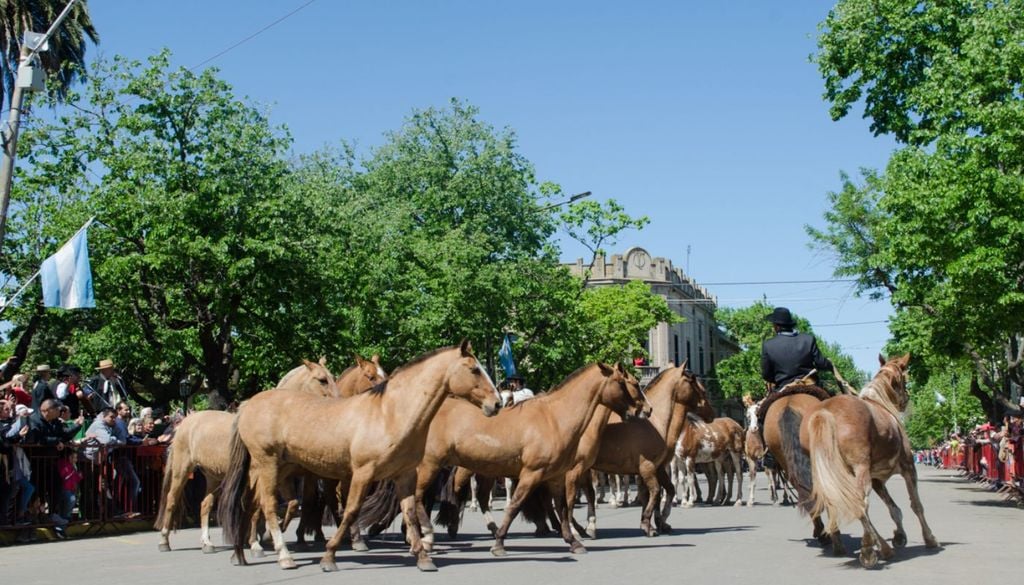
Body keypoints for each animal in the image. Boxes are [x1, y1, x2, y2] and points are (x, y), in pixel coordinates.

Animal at [155, 358, 343, 553]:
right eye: (322, 380)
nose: (339, 404)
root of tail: (186, 422)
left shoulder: (282, 476)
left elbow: (289, 504)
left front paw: (265, 535)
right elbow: (263, 506)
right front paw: (259, 540)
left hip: (214, 476)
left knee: (205, 504)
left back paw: (207, 543)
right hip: (182, 469)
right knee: (171, 500)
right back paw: (164, 541)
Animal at [218, 341, 501, 572]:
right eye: (474, 369)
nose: (497, 403)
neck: (389, 414)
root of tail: (248, 404)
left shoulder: (404, 475)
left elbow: (409, 511)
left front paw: (423, 557)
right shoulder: (362, 474)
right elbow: (350, 510)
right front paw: (330, 555)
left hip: (278, 468)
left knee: (250, 503)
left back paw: (241, 553)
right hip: (268, 465)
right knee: (267, 505)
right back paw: (283, 556)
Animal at [407, 362, 644, 557]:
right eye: (623, 382)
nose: (639, 411)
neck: (555, 418)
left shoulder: (556, 476)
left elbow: (562, 507)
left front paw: (573, 540)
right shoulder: (532, 474)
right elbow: (515, 506)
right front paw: (499, 544)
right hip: (432, 466)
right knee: (421, 497)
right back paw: (427, 537)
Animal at [584, 364, 716, 537]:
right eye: (700, 388)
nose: (712, 414)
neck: (655, 422)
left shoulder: (657, 468)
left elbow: (662, 491)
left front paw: (660, 521)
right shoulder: (648, 468)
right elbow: (654, 492)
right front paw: (649, 523)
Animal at [801, 353, 939, 568]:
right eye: (905, 378)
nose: (906, 400)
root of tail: (824, 412)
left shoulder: (876, 479)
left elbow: (894, 508)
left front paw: (899, 535)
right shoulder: (908, 468)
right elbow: (916, 504)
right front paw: (929, 538)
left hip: (826, 475)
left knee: (841, 503)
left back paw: (876, 546)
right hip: (859, 470)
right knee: (860, 504)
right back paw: (869, 549)